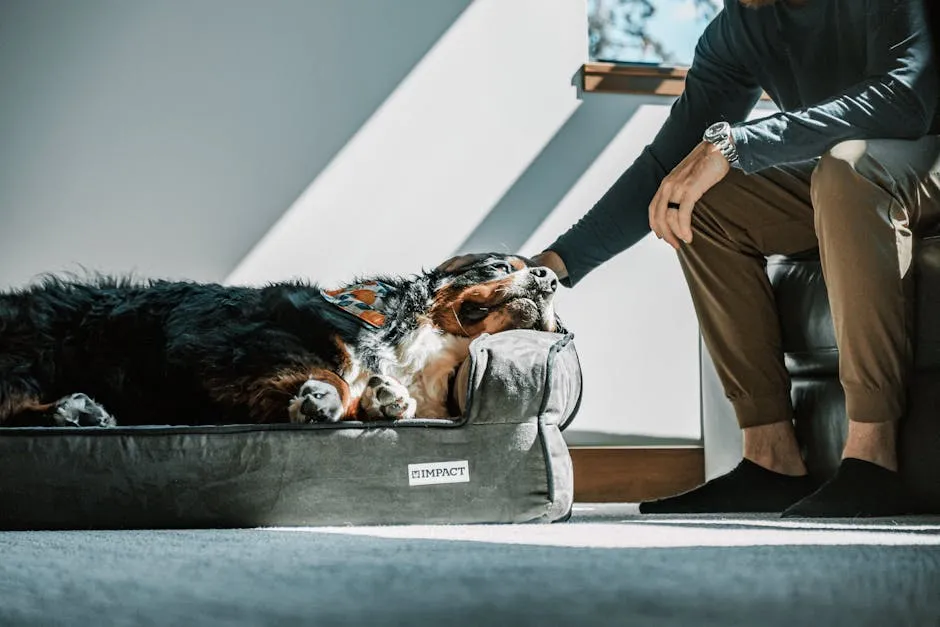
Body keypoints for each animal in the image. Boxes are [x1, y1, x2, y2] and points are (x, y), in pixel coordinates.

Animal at [0, 254, 560, 426]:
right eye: (499, 266)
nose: (549, 278)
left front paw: (385, 398)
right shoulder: (233, 341)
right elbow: (335, 370)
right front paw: (325, 397)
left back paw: (75, 411)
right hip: (29, 358)